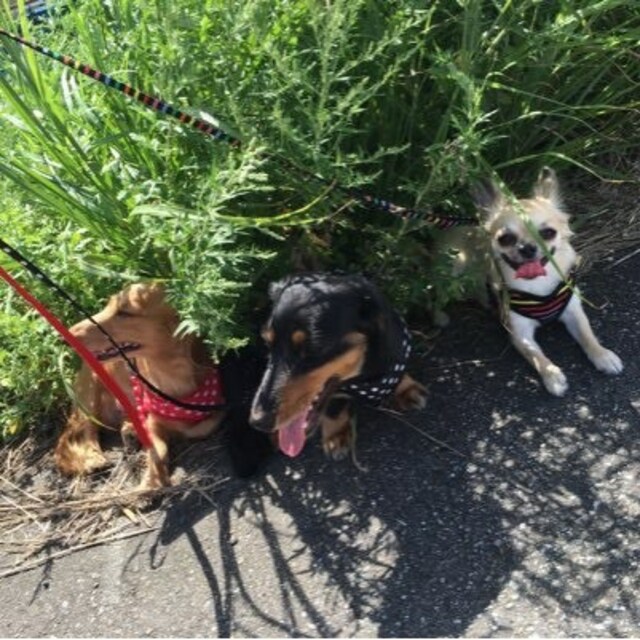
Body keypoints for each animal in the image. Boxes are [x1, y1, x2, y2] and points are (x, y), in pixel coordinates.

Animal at [54, 283, 227, 488]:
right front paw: (152, 480)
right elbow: (159, 450)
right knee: (88, 428)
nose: (63, 338)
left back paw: (129, 430)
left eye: (124, 312)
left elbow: (203, 426)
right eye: (109, 306)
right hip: (90, 394)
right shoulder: (152, 420)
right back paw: (93, 457)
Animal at [249, 273, 427, 459]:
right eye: (268, 343)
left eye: (313, 349)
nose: (258, 422)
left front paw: (406, 387)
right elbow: (334, 403)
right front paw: (336, 435)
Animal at [468, 167, 623, 396]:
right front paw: (552, 376)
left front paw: (603, 355)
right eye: (505, 239)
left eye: (548, 233)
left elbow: (588, 335)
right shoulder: (520, 333)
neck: (537, 285)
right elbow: (537, 357)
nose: (527, 247)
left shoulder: (573, 312)